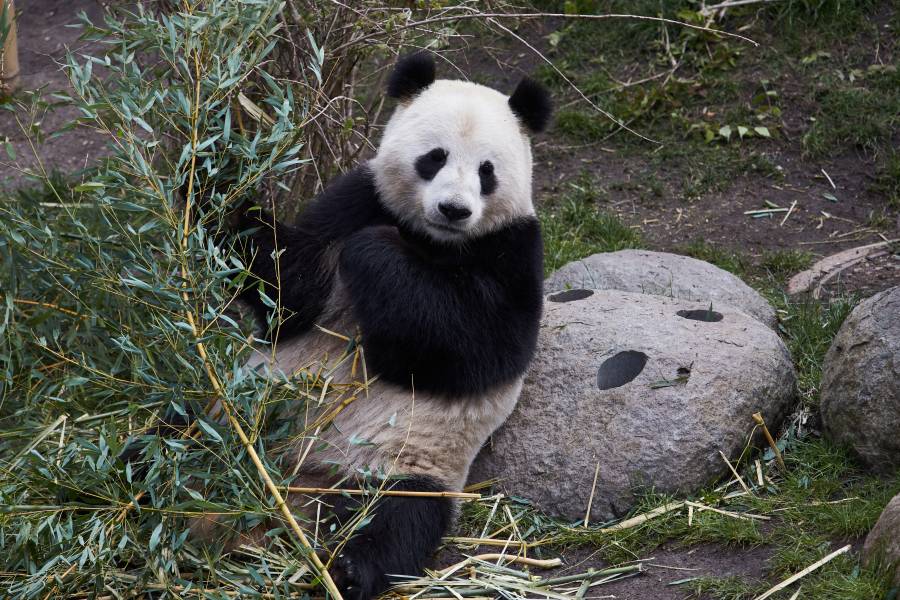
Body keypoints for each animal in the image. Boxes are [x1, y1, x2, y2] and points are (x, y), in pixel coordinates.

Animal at [208, 55, 552, 600]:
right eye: (434, 157)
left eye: (487, 171)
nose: (454, 210)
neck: (432, 239)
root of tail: (293, 486)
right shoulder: (358, 197)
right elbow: (289, 292)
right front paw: (212, 167)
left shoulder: (514, 247)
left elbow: (479, 349)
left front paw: (375, 251)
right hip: (226, 414)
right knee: (166, 443)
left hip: (400, 464)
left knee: (393, 519)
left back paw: (348, 569)